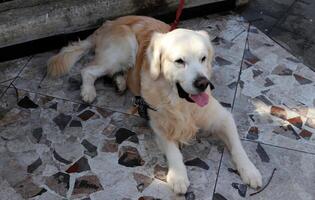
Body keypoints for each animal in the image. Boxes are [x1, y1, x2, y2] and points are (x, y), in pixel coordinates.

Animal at [47, 16, 264, 195]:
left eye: (203, 58)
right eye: (179, 61)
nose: (203, 83)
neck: (180, 102)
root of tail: (108, 23)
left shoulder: (222, 117)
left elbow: (238, 146)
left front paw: (250, 171)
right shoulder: (158, 122)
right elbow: (173, 150)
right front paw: (178, 176)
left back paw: (120, 82)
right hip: (125, 48)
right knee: (88, 70)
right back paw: (89, 91)